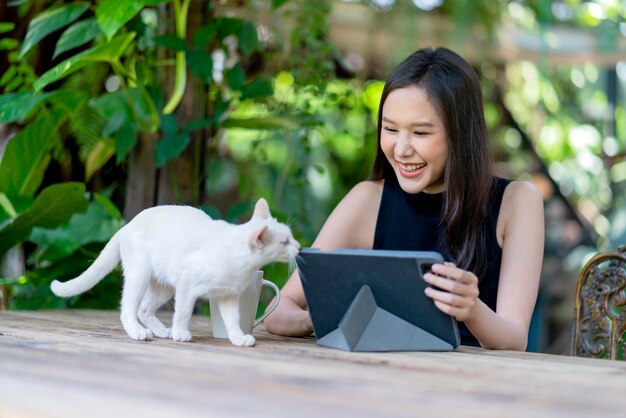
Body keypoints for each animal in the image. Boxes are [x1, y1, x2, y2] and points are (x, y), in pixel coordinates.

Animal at [51, 198, 300, 346]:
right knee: (128, 309)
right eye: (285, 242)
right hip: (140, 276)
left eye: (291, 238)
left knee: (143, 309)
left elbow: (233, 320)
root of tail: (126, 225)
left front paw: (238, 338)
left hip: (164, 287)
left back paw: (162, 331)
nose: (299, 247)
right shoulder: (187, 286)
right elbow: (183, 313)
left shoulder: (227, 296)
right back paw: (140, 333)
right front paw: (181, 333)